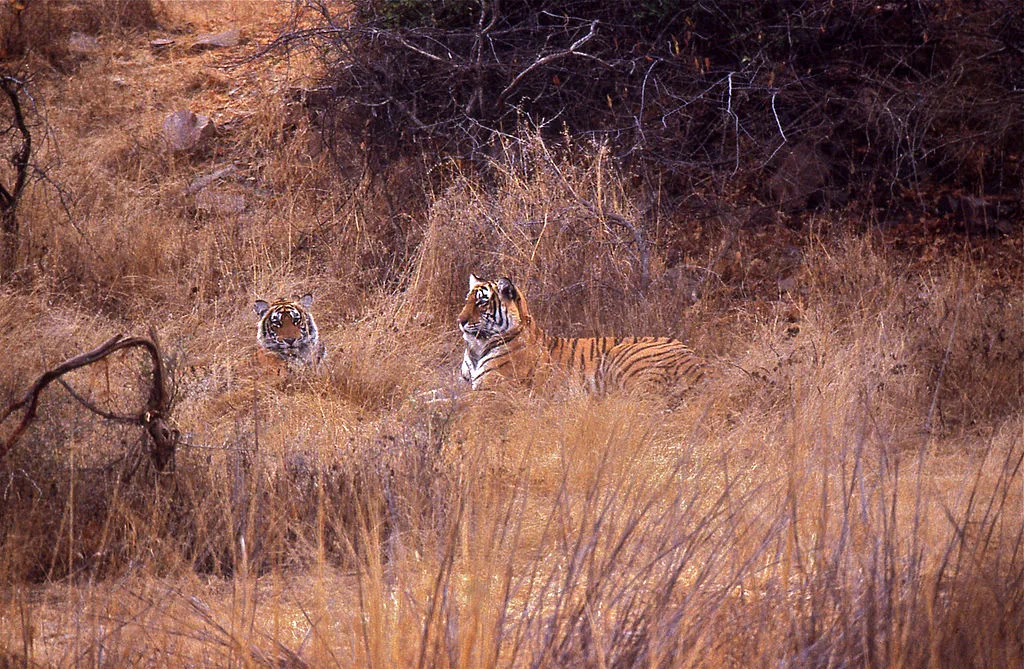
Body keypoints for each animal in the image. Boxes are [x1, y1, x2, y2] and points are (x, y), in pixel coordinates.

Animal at [458, 274, 704, 393]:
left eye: (481, 302)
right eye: (467, 300)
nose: (460, 321)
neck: (476, 348)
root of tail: (697, 363)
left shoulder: (489, 390)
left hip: (622, 358)